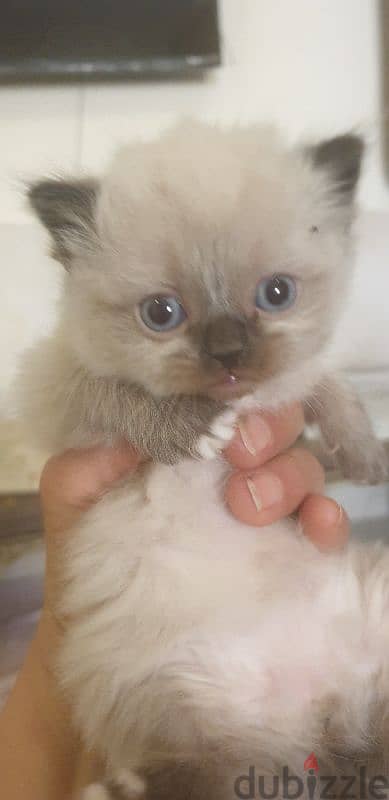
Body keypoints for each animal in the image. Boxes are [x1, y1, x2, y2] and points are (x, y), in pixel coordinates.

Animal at [19, 122, 388, 796]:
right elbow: (117, 392)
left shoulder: (287, 381)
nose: (229, 351)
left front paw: (364, 454)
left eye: (276, 294)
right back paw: (118, 787)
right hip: (178, 719)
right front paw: (192, 434)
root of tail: (309, 728)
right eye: (161, 314)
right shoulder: (56, 390)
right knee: (179, 775)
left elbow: (325, 380)